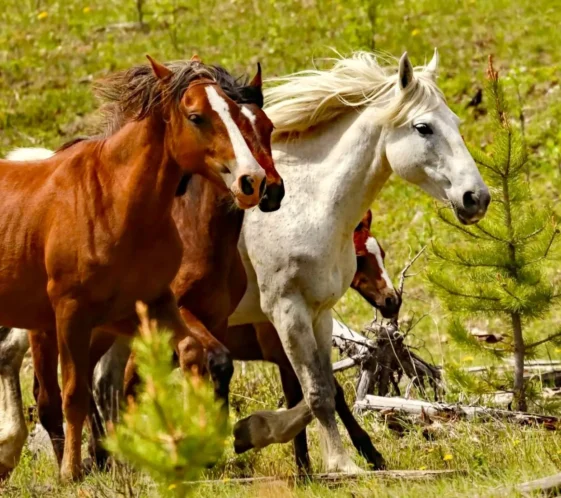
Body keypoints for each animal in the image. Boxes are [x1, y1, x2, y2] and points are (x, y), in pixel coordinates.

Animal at [0, 56, 272, 480]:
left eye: (263, 125)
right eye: (196, 116)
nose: (254, 181)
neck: (115, 202)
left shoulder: (152, 307)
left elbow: (192, 357)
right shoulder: (72, 314)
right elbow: (77, 393)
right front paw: (72, 472)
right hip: (46, 330)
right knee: (48, 397)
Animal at [230, 49, 488, 470]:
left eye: (456, 122)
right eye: (423, 127)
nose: (476, 198)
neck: (302, 206)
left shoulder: (318, 314)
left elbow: (324, 390)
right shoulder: (286, 312)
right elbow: (317, 391)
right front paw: (340, 463)